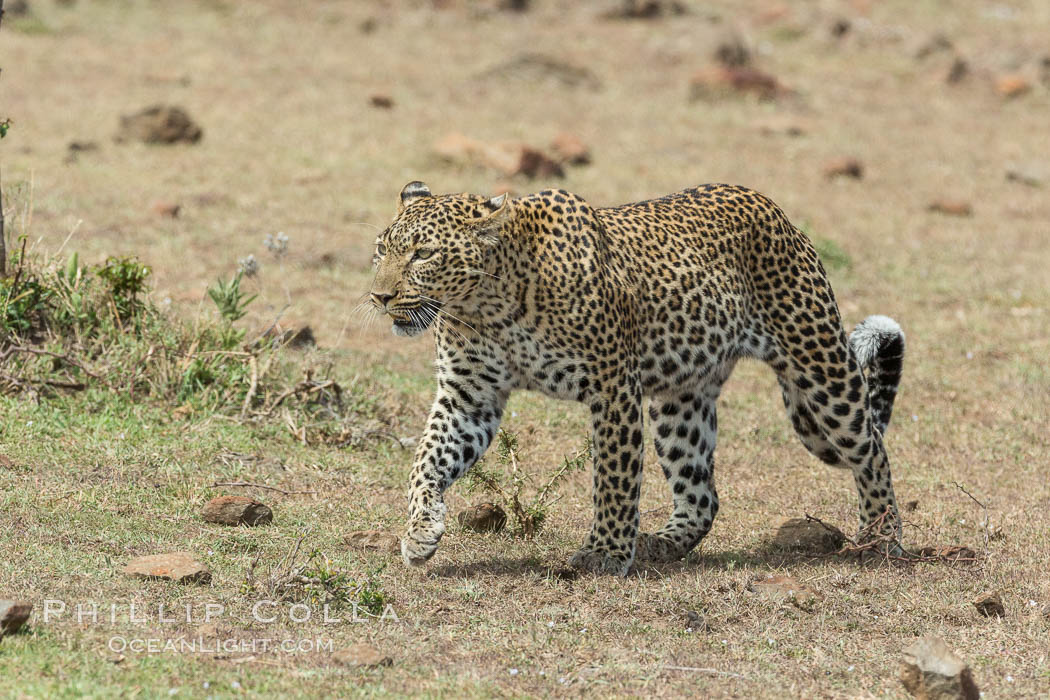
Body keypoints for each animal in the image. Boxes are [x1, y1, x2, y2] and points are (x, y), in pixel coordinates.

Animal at [367, 179, 902, 575]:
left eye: (423, 254)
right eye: (380, 249)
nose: (379, 297)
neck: (487, 306)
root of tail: (771, 206)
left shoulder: (612, 386)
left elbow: (614, 478)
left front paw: (604, 553)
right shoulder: (468, 397)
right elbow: (426, 460)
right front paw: (419, 532)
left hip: (820, 367)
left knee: (871, 447)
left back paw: (882, 539)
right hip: (681, 399)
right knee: (701, 494)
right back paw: (660, 545)